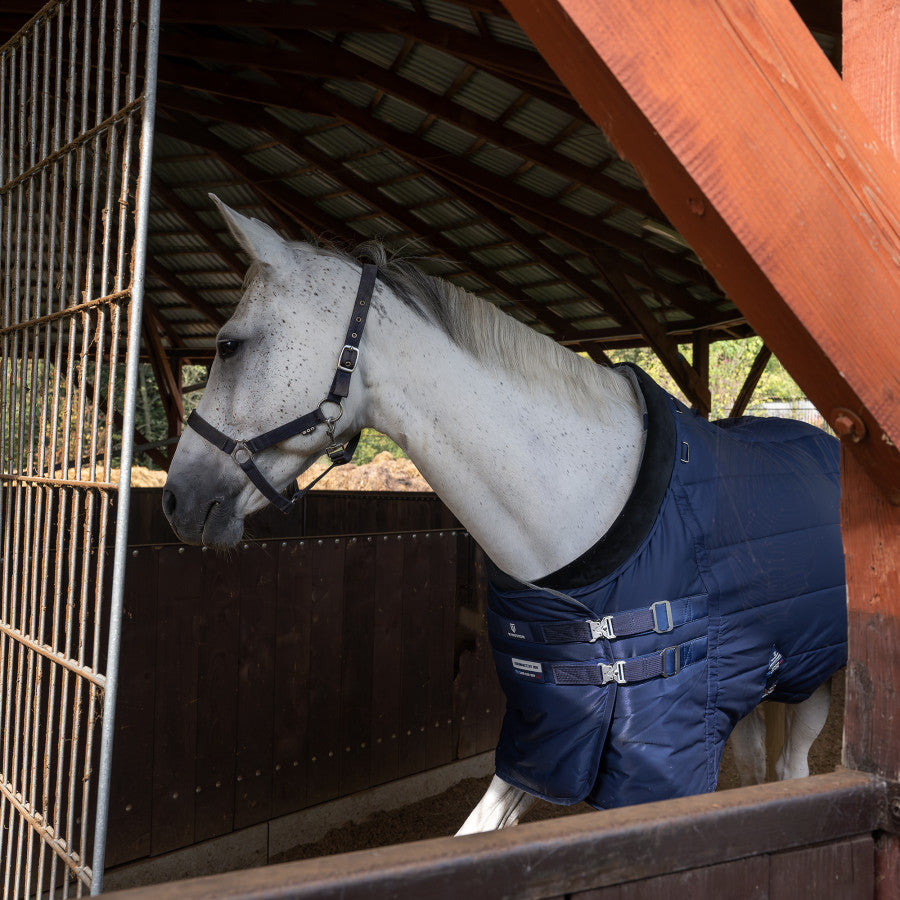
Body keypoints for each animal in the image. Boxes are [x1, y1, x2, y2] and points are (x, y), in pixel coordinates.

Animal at [162, 196, 846, 834]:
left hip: (814, 679)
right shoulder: (553, 735)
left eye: (229, 346)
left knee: (792, 770)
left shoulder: (661, 750)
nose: (176, 501)